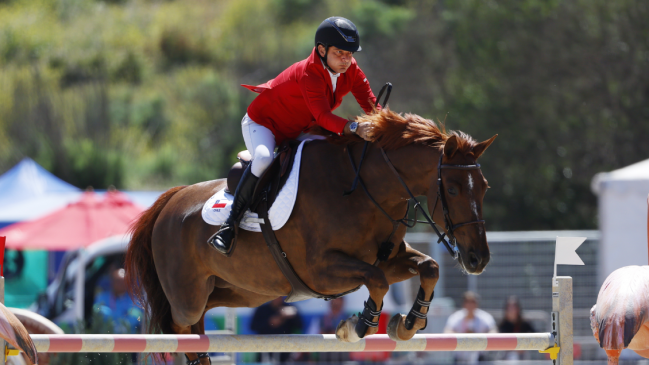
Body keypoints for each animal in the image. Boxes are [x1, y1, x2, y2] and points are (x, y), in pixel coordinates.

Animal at [125, 109, 496, 362]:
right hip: (187, 299)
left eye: (484, 188)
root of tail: (171, 200)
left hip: (235, 292)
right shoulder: (322, 270)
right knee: (180, 328)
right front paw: (356, 326)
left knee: (199, 328)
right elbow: (376, 281)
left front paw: (407, 324)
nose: (478, 259)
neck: (365, 188)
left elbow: (428, 268)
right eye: (452, 188)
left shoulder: (389, 260)